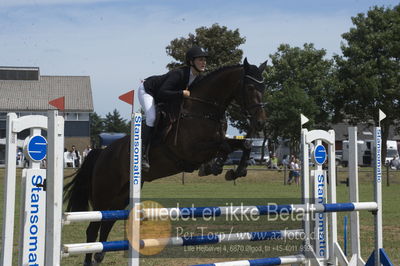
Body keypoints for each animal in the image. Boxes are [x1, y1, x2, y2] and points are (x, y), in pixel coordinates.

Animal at [64, 57, 268, 264]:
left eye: (264, 87)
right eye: (250, 87)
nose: (261, 122)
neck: (202, 109)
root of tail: (102, 153)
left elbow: (245, 145)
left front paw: (236, 171)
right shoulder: (190, 150)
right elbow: (224, 147)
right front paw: (215, 166)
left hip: (121, 196)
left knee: (107, 223)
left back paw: (99, 255)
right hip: (104, 194)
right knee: (93, 228)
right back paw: (89, 259)